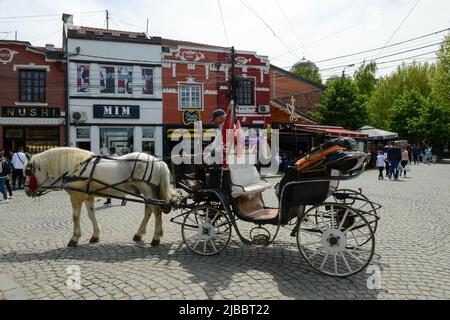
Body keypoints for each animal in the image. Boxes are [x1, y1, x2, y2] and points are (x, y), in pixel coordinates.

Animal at [23, 148, 176, 248]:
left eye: (28, 171)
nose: (26, 190)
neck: (75, 167)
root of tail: (157, 160)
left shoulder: (75, 196)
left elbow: (75, 217)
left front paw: (74, 238)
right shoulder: (88, 196)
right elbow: (91, 215)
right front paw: (95, 235)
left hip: (147, 190)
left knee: (156, 210)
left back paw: (156, 237)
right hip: (148, 192)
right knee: (149, 210)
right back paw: (139, 234)